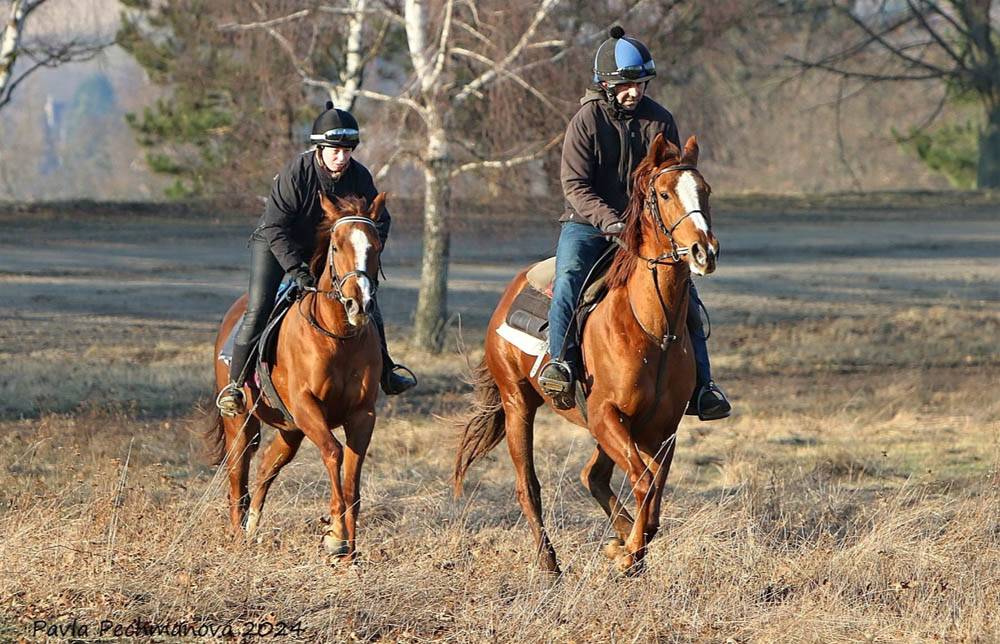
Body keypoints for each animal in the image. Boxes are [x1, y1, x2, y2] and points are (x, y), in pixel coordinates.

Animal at [205, 191, 384, 560]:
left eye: (375, 246)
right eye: (336, 247)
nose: (359, 305)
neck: (337, 336)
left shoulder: (362, 415)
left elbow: (352, 477)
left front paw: (349, 548)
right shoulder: (306, 406)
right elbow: (334, 453)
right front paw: (335, 537)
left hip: (290, 430)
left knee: (265, 468)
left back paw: (252, 528)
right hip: (241, 423)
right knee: (238, 473)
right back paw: (237, 536)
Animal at [454, 135, 720, 572]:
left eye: (706, 190)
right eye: (664, 193)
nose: (704, 251)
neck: (652, 330)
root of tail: (510, 292)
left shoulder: (661, 429)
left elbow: (653, 497)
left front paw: (626, 547)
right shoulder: (606, 415)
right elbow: (644, 484)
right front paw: (628, 553)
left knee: (592, 476)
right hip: (518, 404)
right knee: (528, 485)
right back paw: (550, 564)